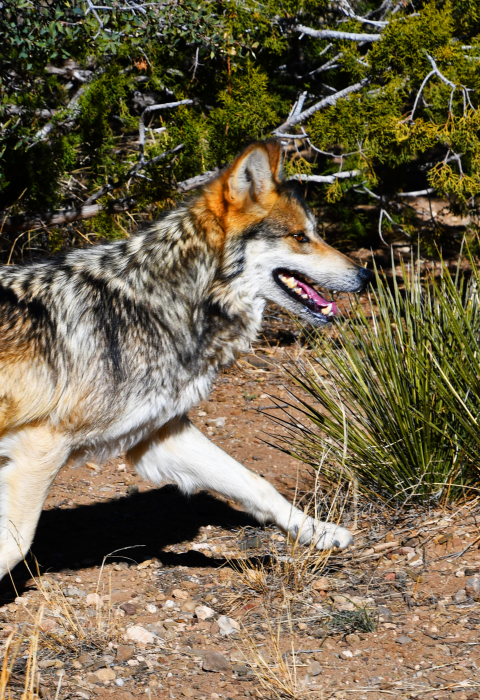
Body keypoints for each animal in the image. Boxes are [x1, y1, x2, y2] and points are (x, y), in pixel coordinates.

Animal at [0, 140, 372, 579]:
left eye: (313, 233)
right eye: (301, 237)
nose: (366, 275)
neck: (162, 303)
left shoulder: (158, 435)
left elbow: (256, 483)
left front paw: (319, 532)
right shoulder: (41, 445)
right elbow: (15, 544)